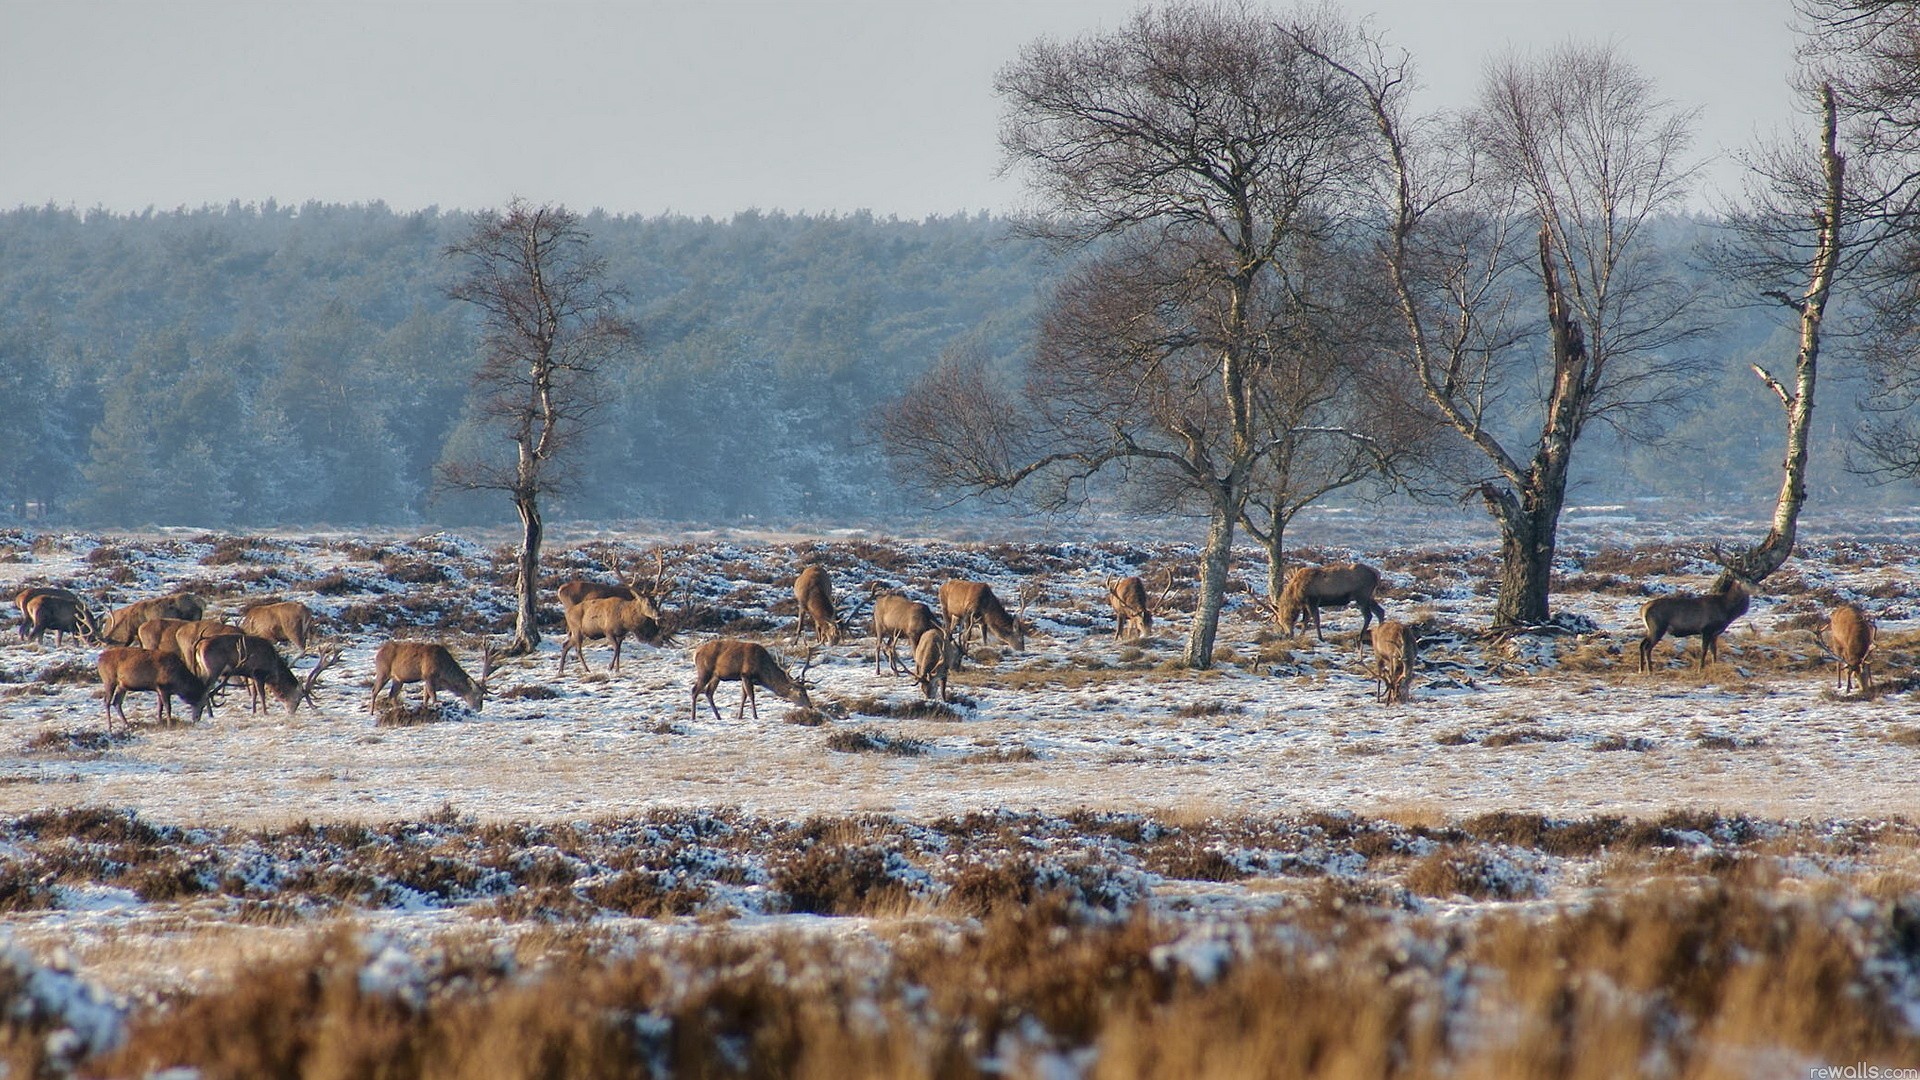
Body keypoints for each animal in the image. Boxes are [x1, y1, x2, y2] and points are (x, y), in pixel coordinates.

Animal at [196, 634, 336, 716]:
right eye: (298, 699)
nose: (291, 712)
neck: (273, 667)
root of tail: (199, 647)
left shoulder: (251, 674)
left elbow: (254, 694)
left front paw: (254, 712)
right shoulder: (258, 673)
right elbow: (262, 694)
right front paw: (265, 712)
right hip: (213, 668)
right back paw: (210, 713)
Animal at [368, 641, 496, 714]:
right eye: (478, 695)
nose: (479, 709)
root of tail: (378, 653)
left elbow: (426, 697)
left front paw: (424, 708)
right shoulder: (428, 675)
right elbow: (433, 697)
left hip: (399, 679)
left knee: (392, 695)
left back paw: (399, 709)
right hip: (383, 672)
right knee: (374, 691)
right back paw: (371, 713)